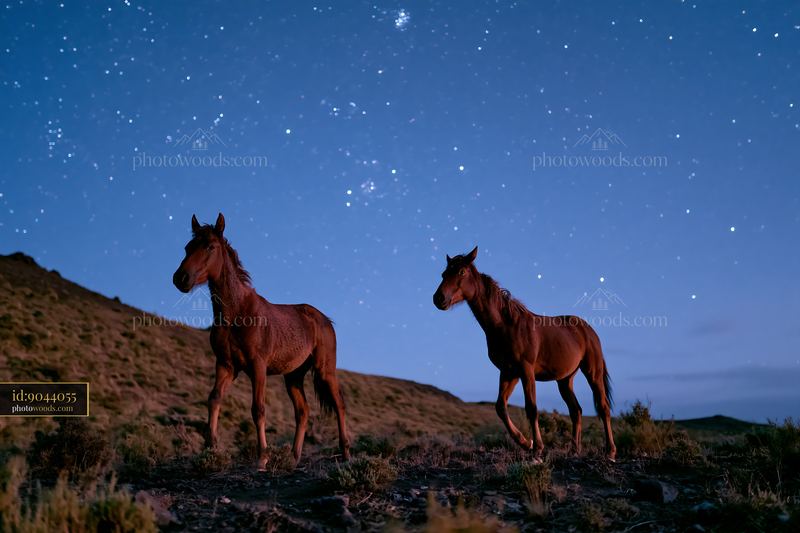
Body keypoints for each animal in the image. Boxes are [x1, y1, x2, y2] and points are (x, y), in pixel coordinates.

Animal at [172, 213, 350, 470]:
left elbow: (258, 409)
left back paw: (346, 454)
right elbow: (214, 399)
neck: (236, 313)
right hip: (293, 377)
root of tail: (325, 320)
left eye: (210, 247)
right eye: (188, 247)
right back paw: (293, 458)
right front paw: (210, 448)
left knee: (339, 405)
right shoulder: (226, 365)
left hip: (325, 370)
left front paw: (262, 459)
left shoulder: (258, 367)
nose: (181, 278)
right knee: (303, 412)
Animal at [433, 247, 616, 461]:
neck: (506, 325)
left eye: (461, 272)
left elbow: (532, 408)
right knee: (576, 411)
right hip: (564, 379)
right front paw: (525, 442)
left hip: (593, 373)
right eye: (444, 274)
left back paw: (610, 451)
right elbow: (500, 407)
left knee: (603, 408)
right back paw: (574, 450)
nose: (438, 299)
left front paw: (537, 449)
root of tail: (589, 330)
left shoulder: (526, 371)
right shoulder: (508, 372)